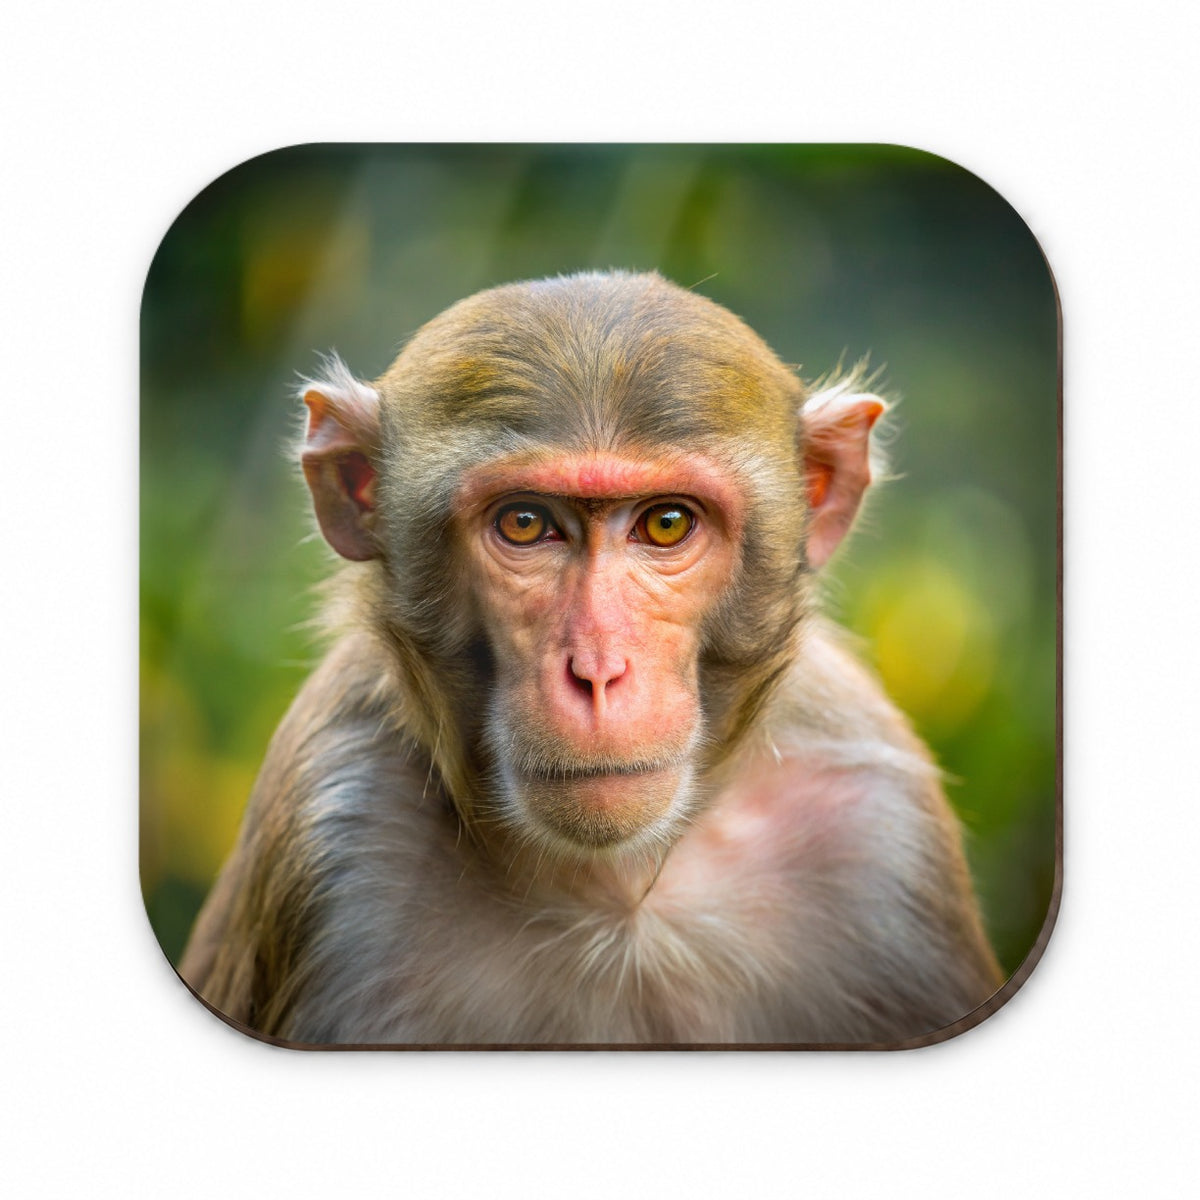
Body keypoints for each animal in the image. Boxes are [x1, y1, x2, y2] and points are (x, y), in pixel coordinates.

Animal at [179, 270, 1003, 1046]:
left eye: (666, 524)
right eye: (525, 522)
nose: (599, 673)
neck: (619, 888)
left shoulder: (885, 831)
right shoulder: (333, 828)